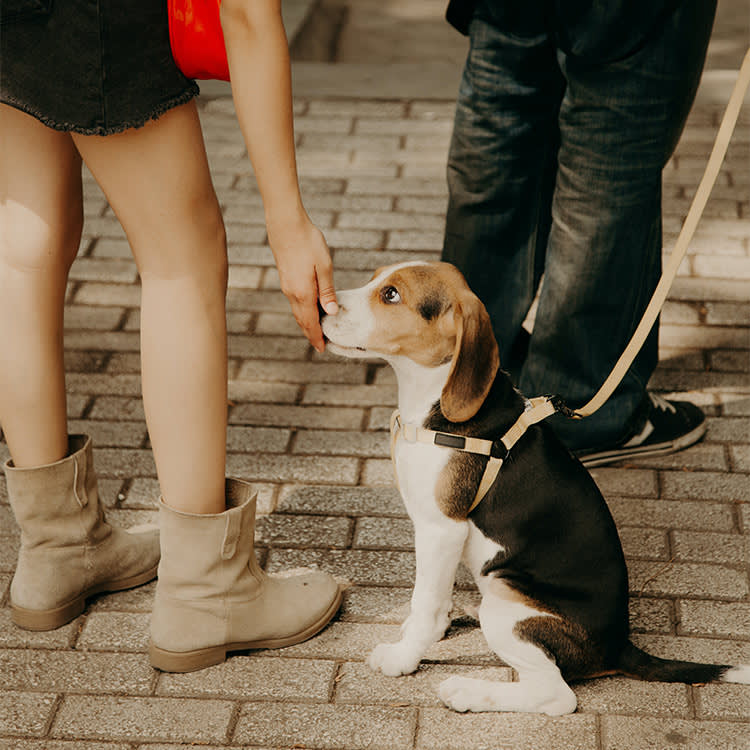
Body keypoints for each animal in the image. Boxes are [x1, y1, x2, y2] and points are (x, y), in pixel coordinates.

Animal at [324, 262, 750, 716]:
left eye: (391, 295)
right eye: (376, 278)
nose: (321, 306)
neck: (430, 401)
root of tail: (619, 645)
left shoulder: (442, 530)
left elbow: (425, 601)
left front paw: (404, 656)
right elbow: (430, 599)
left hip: (505, 596)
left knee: (556, 695)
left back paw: (467, 690)